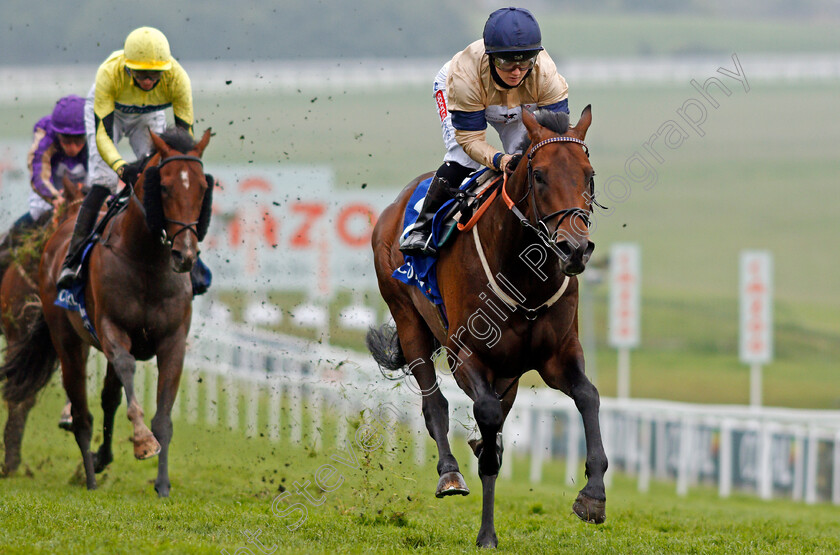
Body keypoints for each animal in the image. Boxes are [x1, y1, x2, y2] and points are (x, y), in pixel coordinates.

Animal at [370, 108, 608, 548]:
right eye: (539, 175)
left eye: (589, 175)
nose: (575, 248)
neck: (526, 273)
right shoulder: (466, 354)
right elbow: (485, 420)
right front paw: (486, 534)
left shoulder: (558, 354)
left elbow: (588, 396)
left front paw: (593, 495)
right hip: (408, 319)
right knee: (435, 404)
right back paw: (450, 473)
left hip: (508, 371)